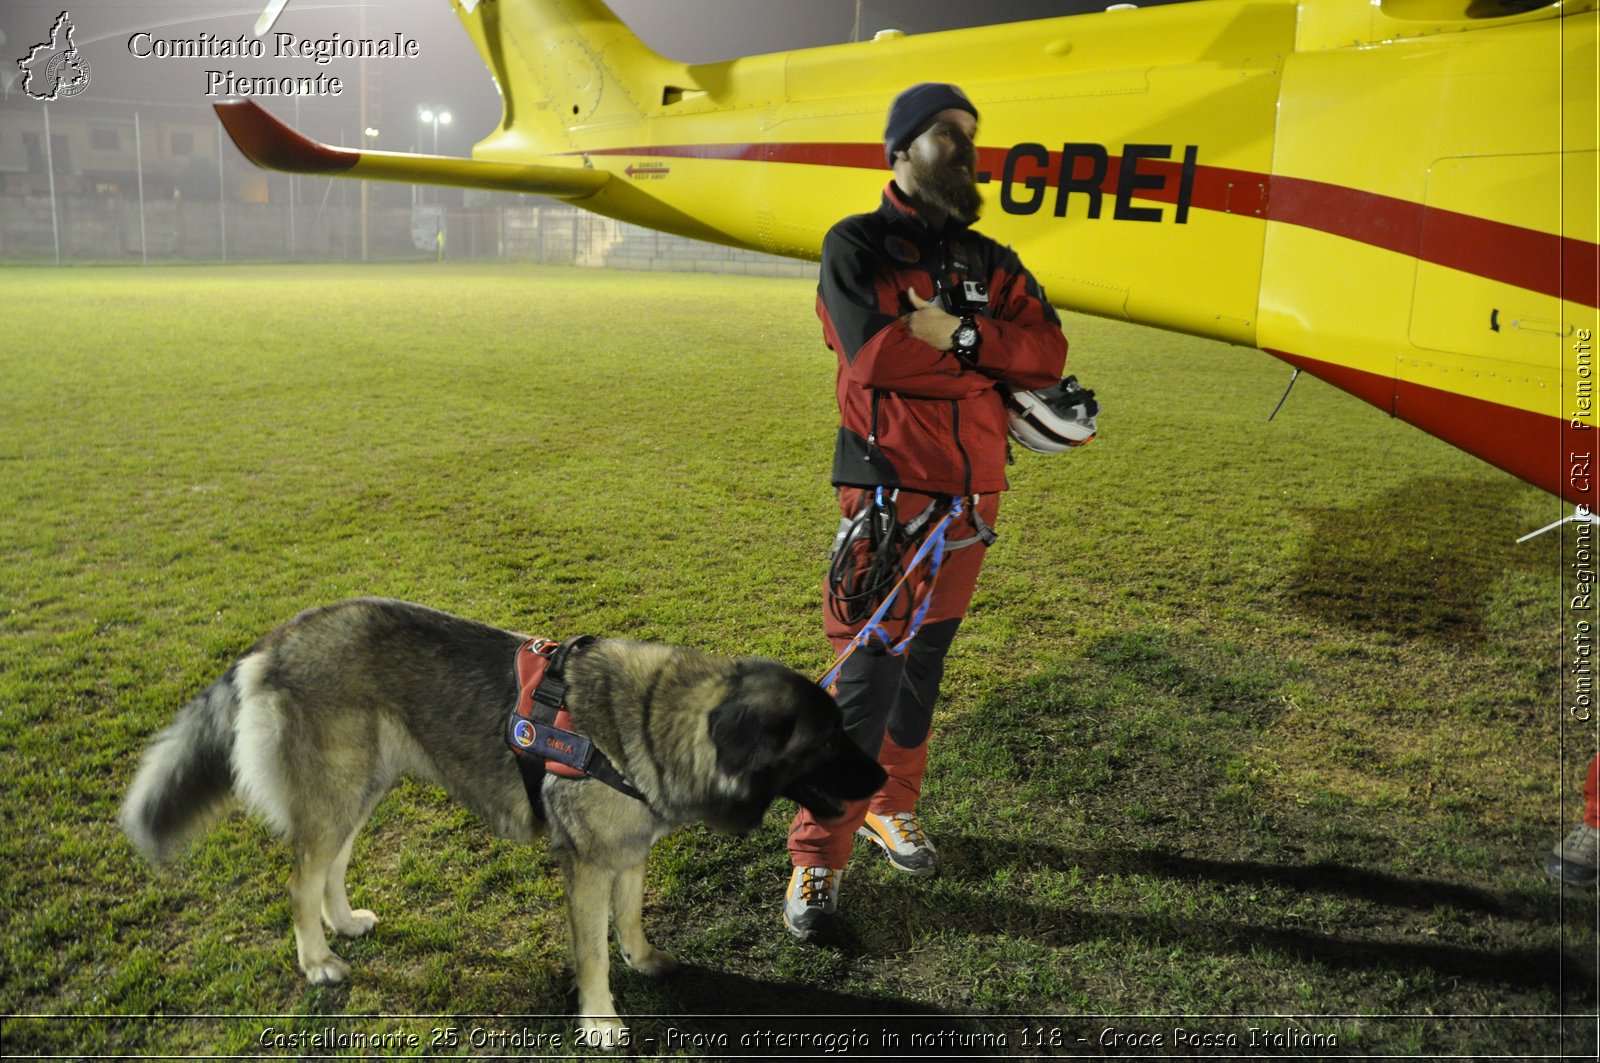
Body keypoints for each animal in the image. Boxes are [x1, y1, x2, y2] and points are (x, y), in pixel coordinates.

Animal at [118, 598, 883, 1043]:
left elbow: (631, 918)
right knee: (300, 882)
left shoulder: (629, 853)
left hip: (361, 787)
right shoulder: (587, 867)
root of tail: (276, 641)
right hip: (336, 792)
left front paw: (643, 958)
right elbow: (593, 951)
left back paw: (344, 923)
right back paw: (317, 960)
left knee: (331, 865)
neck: (649, 722)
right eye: (827, 741)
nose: (881, 779)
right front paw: (600, 1021)